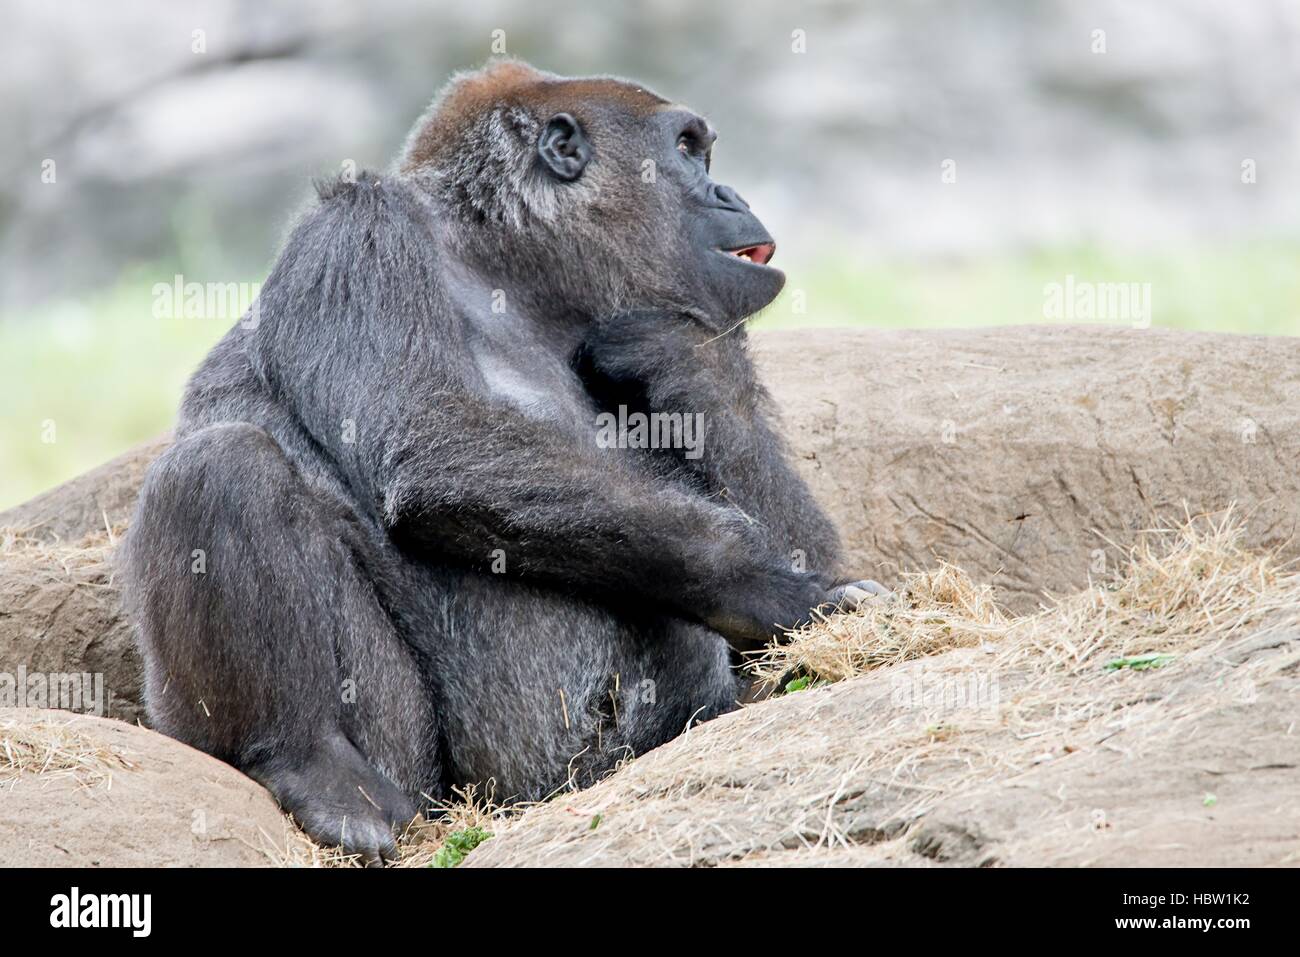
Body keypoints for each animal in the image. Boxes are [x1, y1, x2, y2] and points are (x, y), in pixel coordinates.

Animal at [119, 61, 883, 868]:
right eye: (687, 150)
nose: (731, 194)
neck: (503, 266)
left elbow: (789, 521)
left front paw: (685, 354)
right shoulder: (359, 231)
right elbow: (435, 439)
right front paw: (764, 587)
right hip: (419, 786)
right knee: (220, 466)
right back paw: (307, 760)